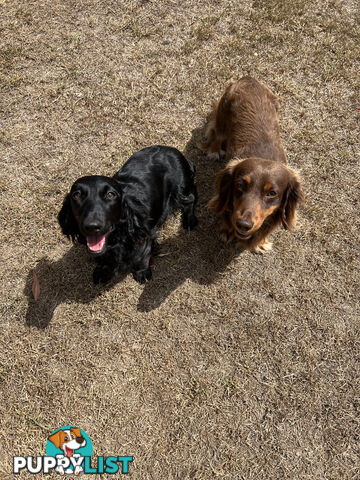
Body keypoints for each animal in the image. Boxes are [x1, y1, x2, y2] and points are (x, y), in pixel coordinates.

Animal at [58, 144, 198, 284]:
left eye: (110, 195)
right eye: (76, 195)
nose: (92, 226)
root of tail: (174, 151)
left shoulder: (145, 236)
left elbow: (142, 257)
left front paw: (142, 273)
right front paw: (102, 271)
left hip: (181, 189)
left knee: (192, 197)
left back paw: (189, 220)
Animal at [204, 76, 302, 251]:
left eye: (272, 193)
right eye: (240, 185)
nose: (243, 224)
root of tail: (249, 79)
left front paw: (261, 242)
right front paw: (226, 231)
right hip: (223, 115)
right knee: (217, 133)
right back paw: (214, 150)